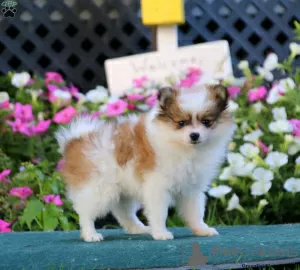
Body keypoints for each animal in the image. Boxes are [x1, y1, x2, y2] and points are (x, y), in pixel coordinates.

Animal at [55, 85, 236, 243]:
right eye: (181, 123)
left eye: (206, 122)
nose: (194, 135)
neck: (183, 147)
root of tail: (75, 142)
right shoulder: (157, 187)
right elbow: (159, 213)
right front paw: (161, 233)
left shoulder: (192, 188)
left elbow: (195, 212)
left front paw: (202, 229)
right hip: (98, 188)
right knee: (86, 212)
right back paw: (90, 234)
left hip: (122, 191)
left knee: (124, 213)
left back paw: (139, 229)